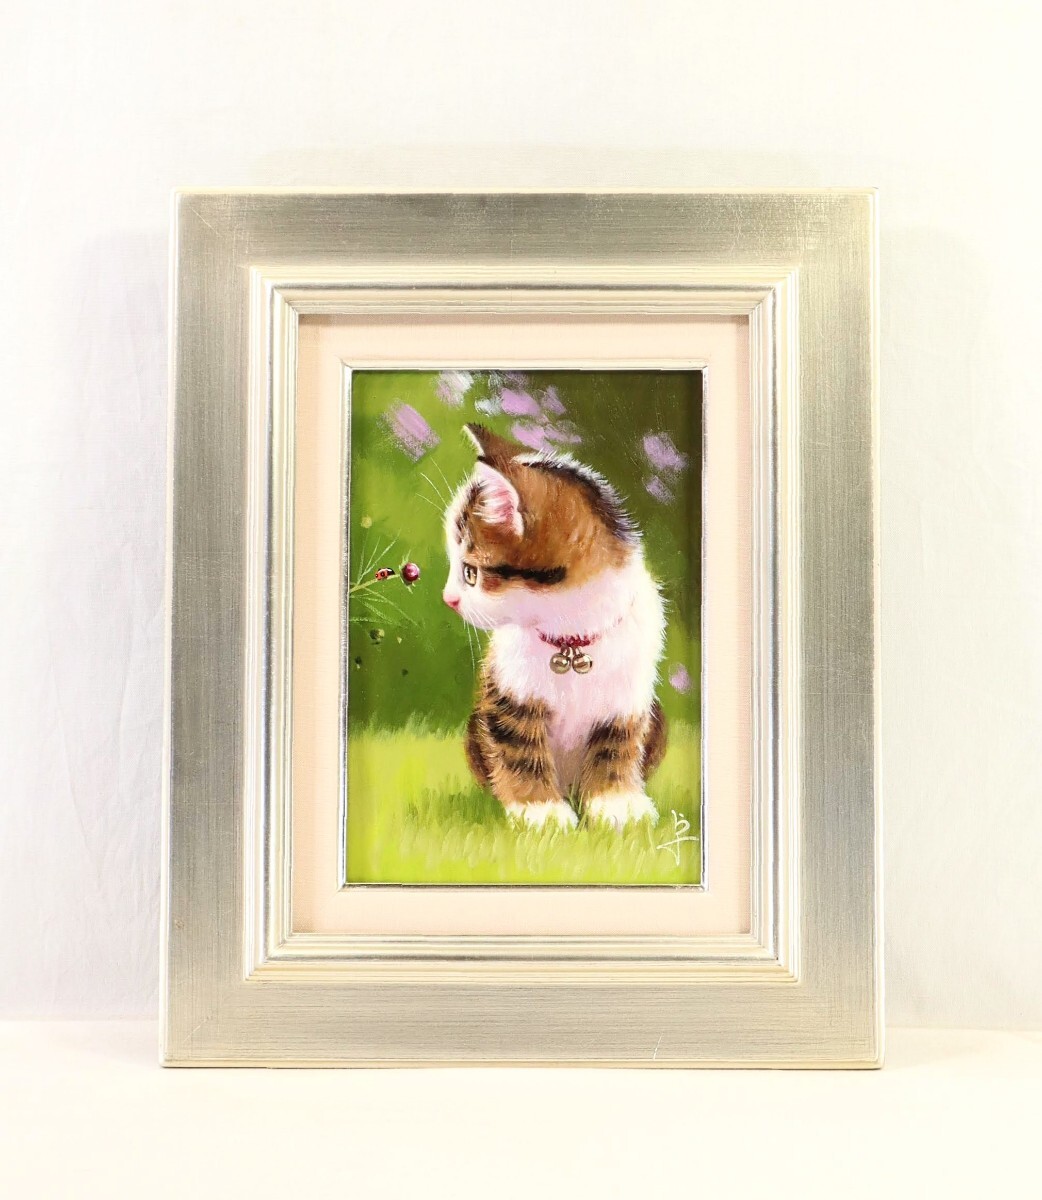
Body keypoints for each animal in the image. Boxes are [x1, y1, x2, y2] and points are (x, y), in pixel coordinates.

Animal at [442, 423, 667, 829]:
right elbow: (518, 747)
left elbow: (616, 747)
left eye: (470, 572)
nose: (447, 598)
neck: (570, 638)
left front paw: (617, 803)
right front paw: (540, 810)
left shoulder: (628, 697)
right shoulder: (508, 691)